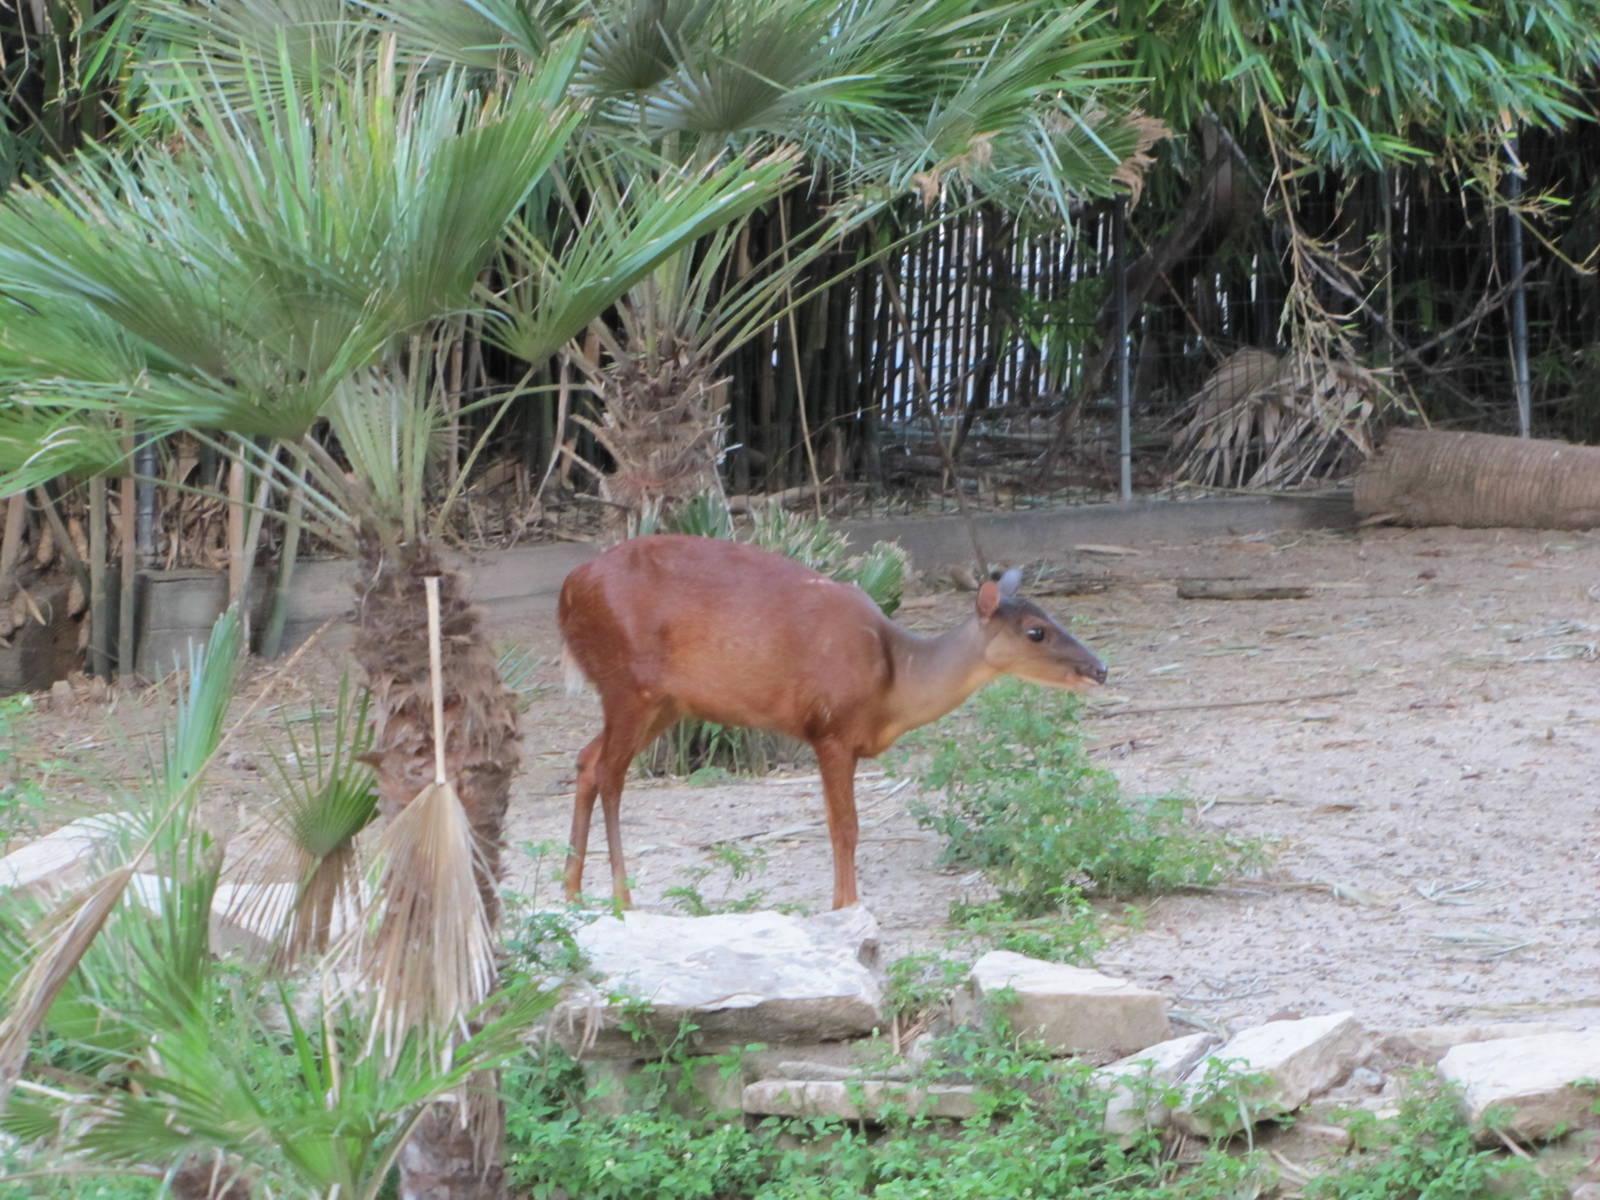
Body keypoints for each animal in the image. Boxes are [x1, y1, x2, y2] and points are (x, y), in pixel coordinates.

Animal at [557, 534, 1108, 910]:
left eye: (1053, 618)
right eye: (1036, 632)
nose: (1099, 669)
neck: (894, 683)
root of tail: (568, 591)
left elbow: (838, 824)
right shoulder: (831, 729)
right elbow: (846, 827)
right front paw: (847, 905)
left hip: (664, 703)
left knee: (585, 761)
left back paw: (572, 892)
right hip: (629, 683)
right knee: (609, 774)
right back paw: (621, 899)